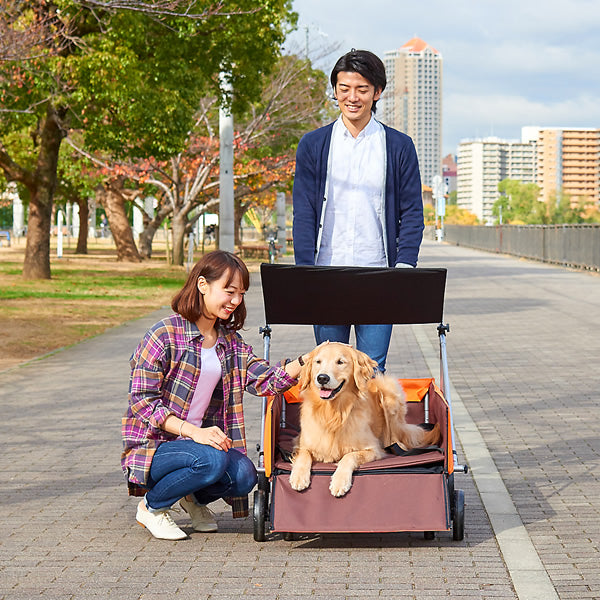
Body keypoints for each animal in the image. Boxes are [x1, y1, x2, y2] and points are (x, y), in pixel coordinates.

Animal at [290, 342, 440, 496]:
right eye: (318, 362)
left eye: (340, 362)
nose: (322, 378)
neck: (333, 413)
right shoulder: (301, 443)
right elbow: (304, 454)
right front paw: (298, 477)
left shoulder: (373, 449)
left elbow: (349, 456)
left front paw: (340, 481)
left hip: (388, 392)